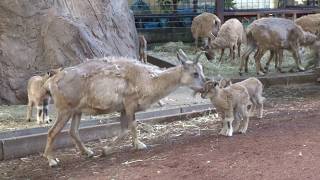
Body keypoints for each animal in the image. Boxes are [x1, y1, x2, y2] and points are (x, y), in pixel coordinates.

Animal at [42, 49, 205, 167]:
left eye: (201, 70)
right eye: (195, 73)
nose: (207, 86)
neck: (148, 80)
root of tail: (50, 82)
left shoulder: (122, 109)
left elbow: (124, 129)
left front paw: (105, 150)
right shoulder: (129, 103)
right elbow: (132, 126)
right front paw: (139, 145)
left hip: (76, 111)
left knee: (73, 131)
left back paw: (88, 152)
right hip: (65, 110)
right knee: (52, 132)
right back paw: (51, 160)